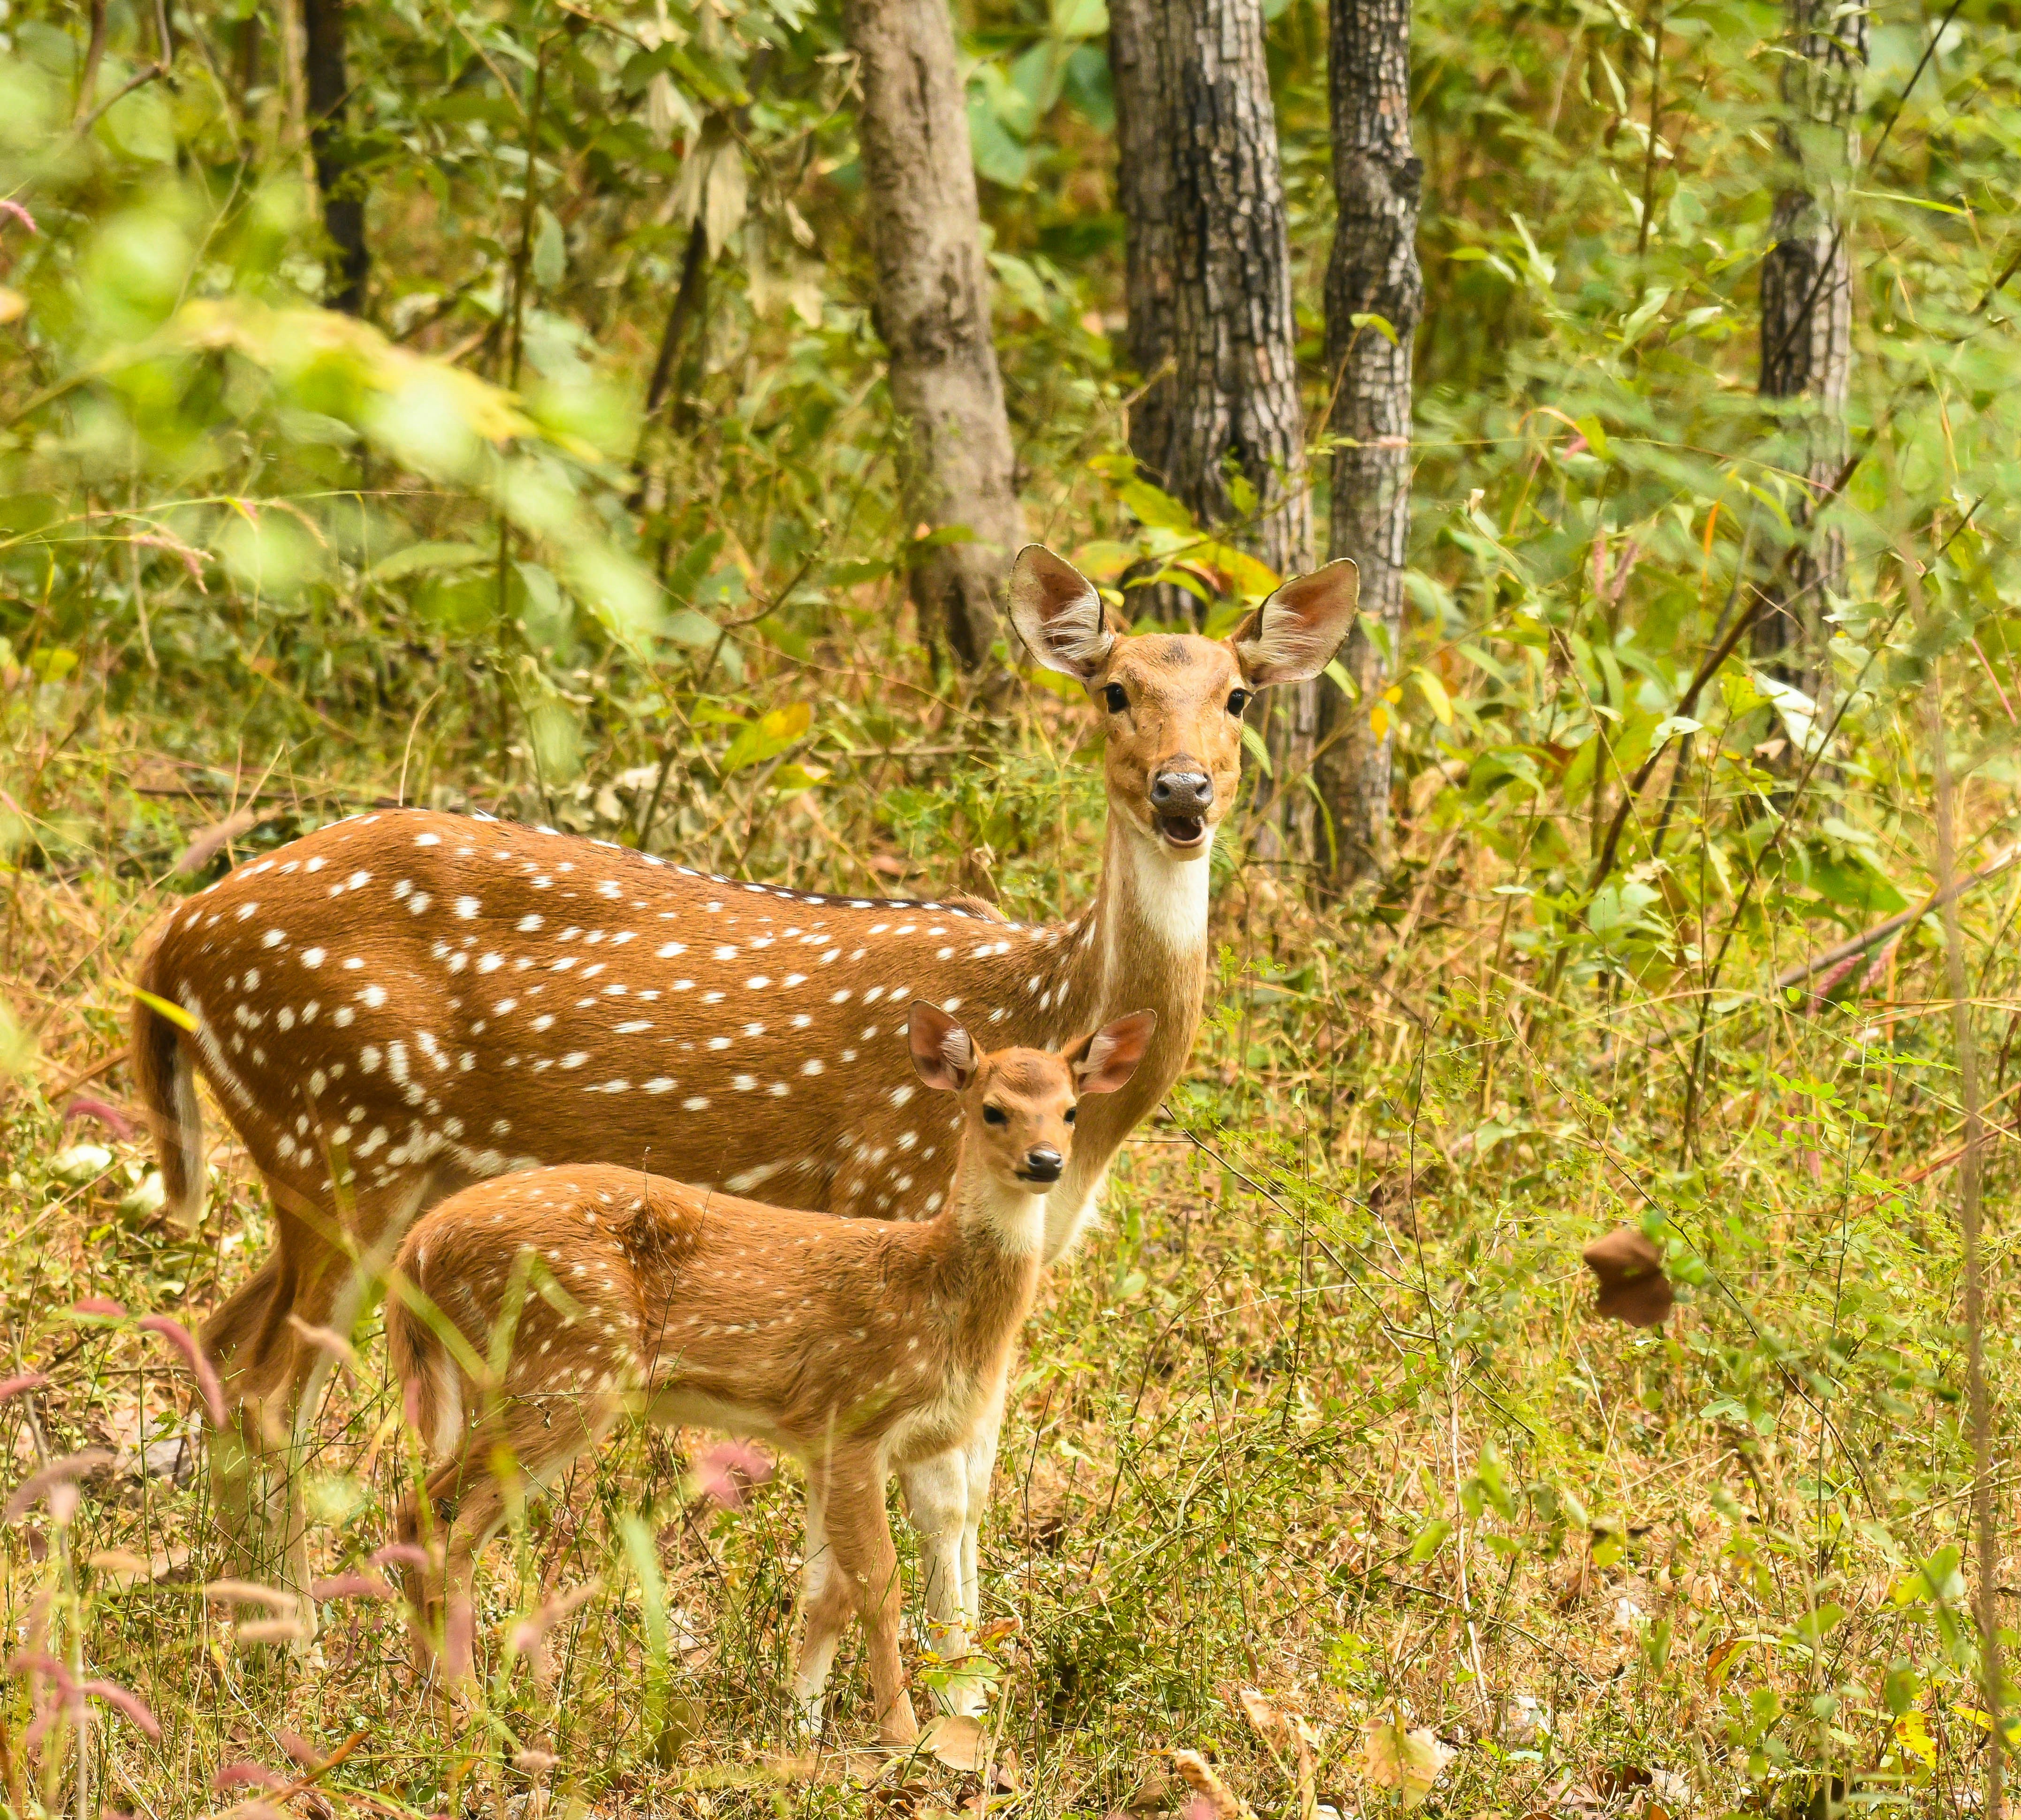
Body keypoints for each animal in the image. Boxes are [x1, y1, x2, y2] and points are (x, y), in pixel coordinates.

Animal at [388, 1004, 1155, 1743]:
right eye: (993, 1109)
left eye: (1070, 1110)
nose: (1046, 1161)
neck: (942, 1301)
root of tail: (418, 1248)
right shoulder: (854, 1417)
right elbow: (879, 1584)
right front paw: (901, 1737)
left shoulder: (842, 1440)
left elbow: (826, 1593)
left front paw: (802, 1730)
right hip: (563, 1368)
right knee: (447, 1524)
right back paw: (466, 1715)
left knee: (419, 1511)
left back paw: (429, 1704)